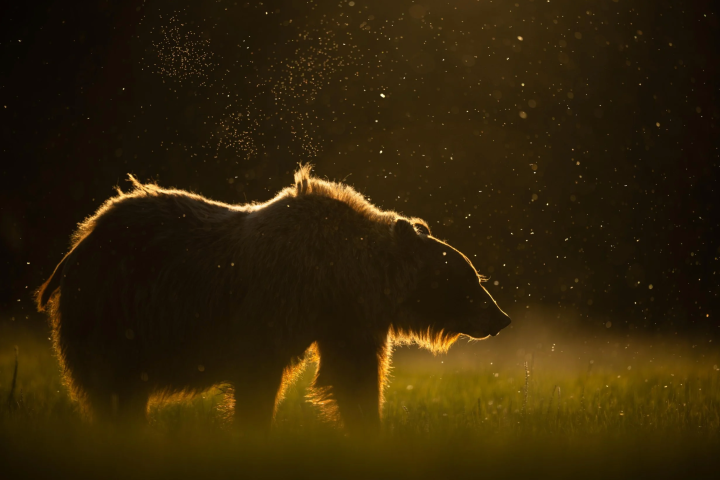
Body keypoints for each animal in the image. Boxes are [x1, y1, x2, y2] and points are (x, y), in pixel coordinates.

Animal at [36, 165, 510, 433]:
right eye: (470, 279)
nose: (501, 317)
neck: (340, 279)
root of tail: (80, 241)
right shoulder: (271, 314)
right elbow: (259, 381)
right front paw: (252, 430)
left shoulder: (345, 323)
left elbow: (355, 379)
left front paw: (368, 427)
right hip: (117, 312)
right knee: (114, 389)